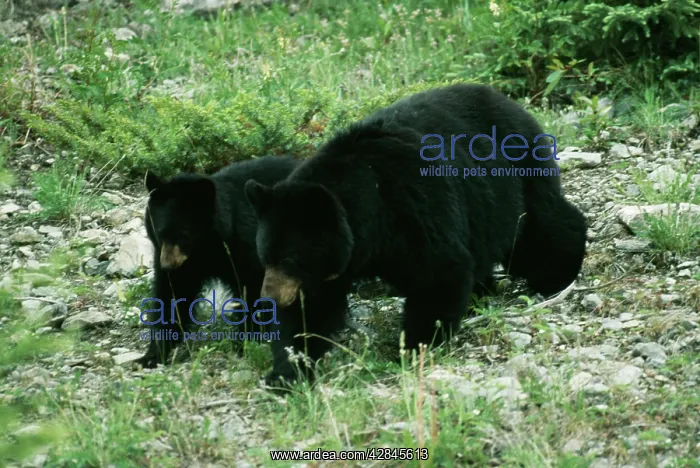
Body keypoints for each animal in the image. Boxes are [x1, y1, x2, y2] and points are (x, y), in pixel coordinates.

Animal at [136, 155, 300, 370]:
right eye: (160, 233)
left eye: (184, 235)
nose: (168, 265)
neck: (208, 248)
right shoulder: (178, 262)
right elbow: (172, 295)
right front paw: (151, 354)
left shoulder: (247, 247)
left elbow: (254, 290)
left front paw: (247, 341)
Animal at [244, 83, 587, 383]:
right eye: (265, 257)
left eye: (290, 259)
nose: (269, 298)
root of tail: (509, 101)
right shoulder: (333, 264)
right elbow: (310, 311)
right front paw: (288, 370)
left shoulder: (413, 206)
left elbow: (437, 272)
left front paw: (415, 345)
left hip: (515, 174)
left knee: (539, 226)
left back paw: (557, 273)